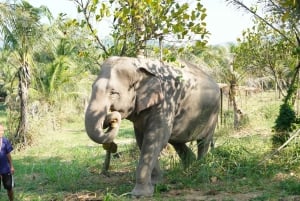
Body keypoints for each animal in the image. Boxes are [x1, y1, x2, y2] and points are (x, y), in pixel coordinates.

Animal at [85, 55, 220, 197]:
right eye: (92, 87)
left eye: (113, 93)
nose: (112, 118)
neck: (137, 64)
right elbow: (142, 140)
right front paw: (156, 182)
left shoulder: (166, 101)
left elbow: (155, 138)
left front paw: (140, 194)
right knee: (177, 142)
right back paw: (190, 167)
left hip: (213, 113)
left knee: (203, 142)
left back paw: (199, 168)